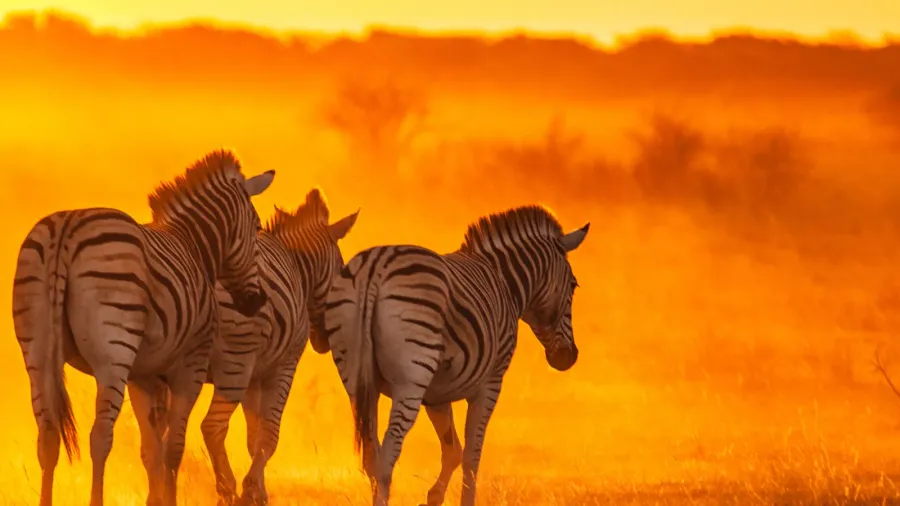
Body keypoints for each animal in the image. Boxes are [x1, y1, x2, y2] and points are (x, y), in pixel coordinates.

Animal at [12, 150, 276, 506]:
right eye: (257, 227)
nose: (256, 301)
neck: (194, 247)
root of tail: (66, 227)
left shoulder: (144, 375)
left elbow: (152, 449)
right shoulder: (190, 364)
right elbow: (174, 448)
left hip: (36, 349)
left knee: (49, 436)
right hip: (114, 350)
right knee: (100, 436)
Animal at [136, 189, 359, 506]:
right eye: (342, 272)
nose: (325, 340)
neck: (298, 268)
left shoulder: (256, 374)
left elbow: (254, 438)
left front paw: (257, 491)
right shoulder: (281, 366)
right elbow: (269, 436)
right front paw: (251, 490)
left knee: (158, 437)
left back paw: (159, 496)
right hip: (234, 363)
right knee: (211, 428)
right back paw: (226, 489)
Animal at [323, 205, 589, 506]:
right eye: (573, 286)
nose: (568, 357)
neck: (504, 283)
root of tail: (375, 268)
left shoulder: (436, 395)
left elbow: (453, 450)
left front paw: (433, 496)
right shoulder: (490, 383)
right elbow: (472, 456)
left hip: (355, 376)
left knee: (371, 453)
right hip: (411, 378)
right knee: (388, 452)